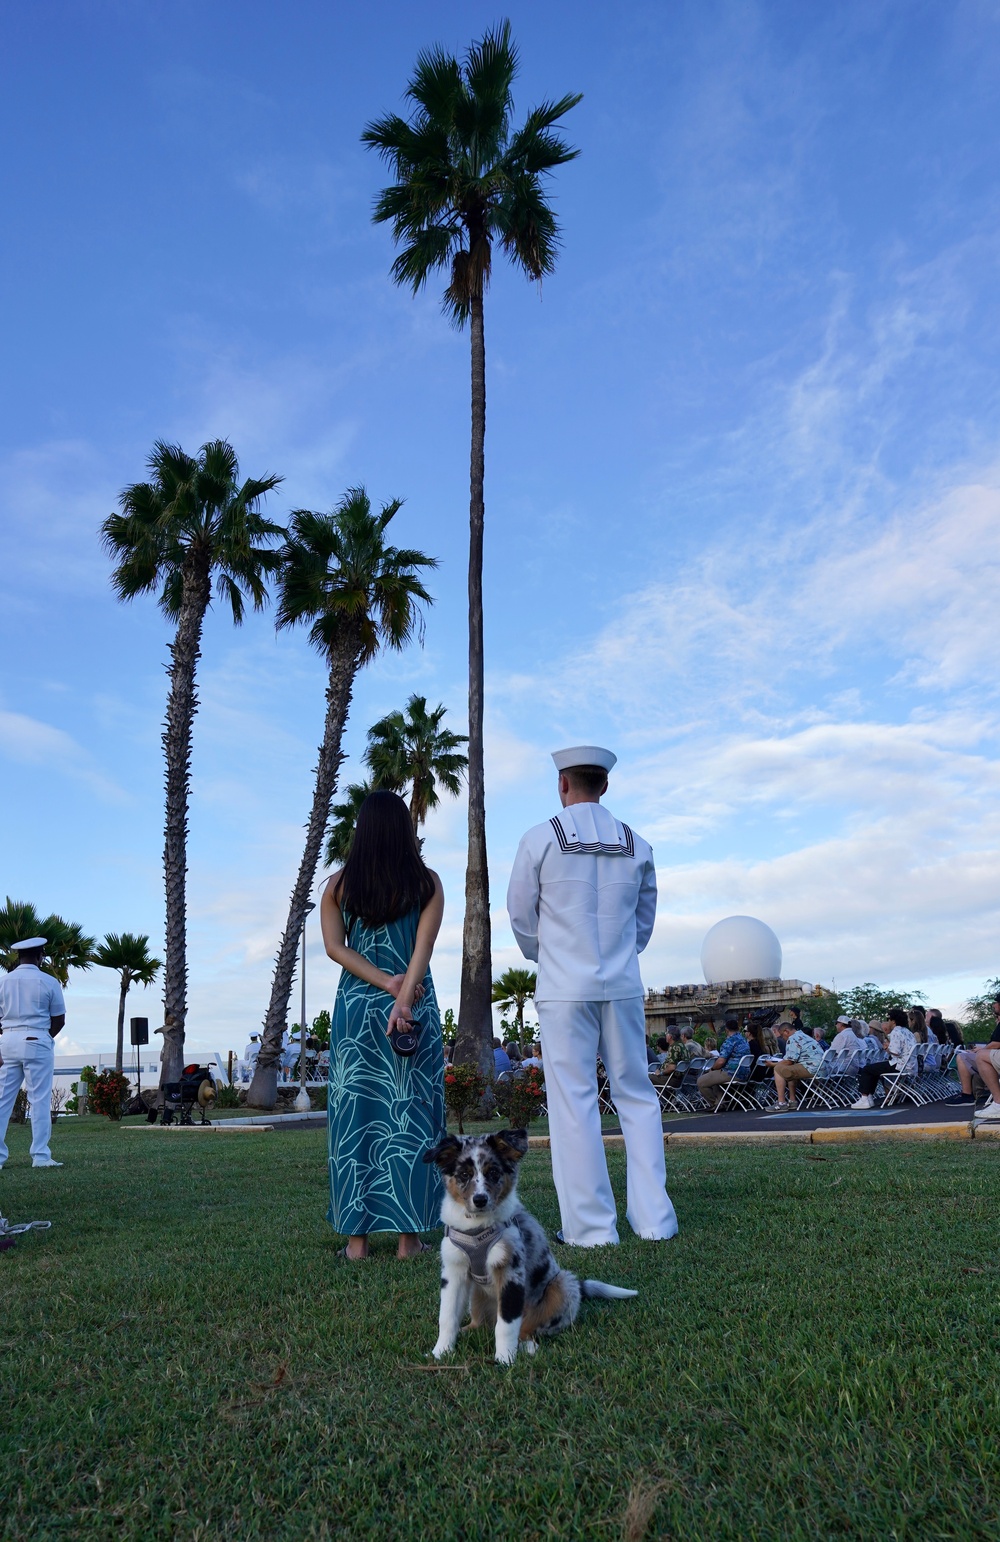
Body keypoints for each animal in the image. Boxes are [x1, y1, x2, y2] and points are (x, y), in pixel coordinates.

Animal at [422, 1128, 640, 1369]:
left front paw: (505, 1360)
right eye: (463, 1175)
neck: (477, 1228)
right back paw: (467, 1331)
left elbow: (506, 1324)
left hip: (562, 1284)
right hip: (476, 1295)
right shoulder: (454, 1271)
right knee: (481, 1322)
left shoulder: (511, 1273)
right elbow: (447, 1316)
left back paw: (526, 1346)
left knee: (526, 1328)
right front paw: (440, 1352)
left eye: (493, 1172)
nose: (480, 1200)